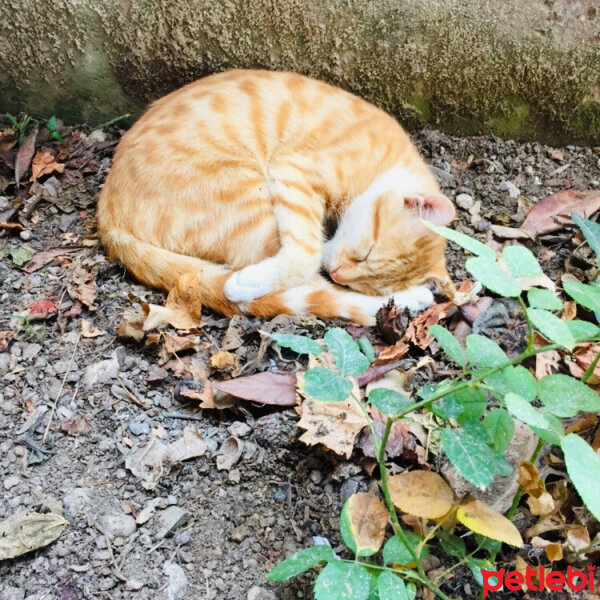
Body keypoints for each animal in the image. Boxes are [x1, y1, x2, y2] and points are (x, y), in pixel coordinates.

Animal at [98, 69, 454, 328]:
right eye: (365, 254)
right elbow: (307, 254)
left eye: (367, 282)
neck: (387, 162)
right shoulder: (294, 170)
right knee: (297, 289)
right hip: (250, 202)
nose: (340, 274)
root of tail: (107, 213)